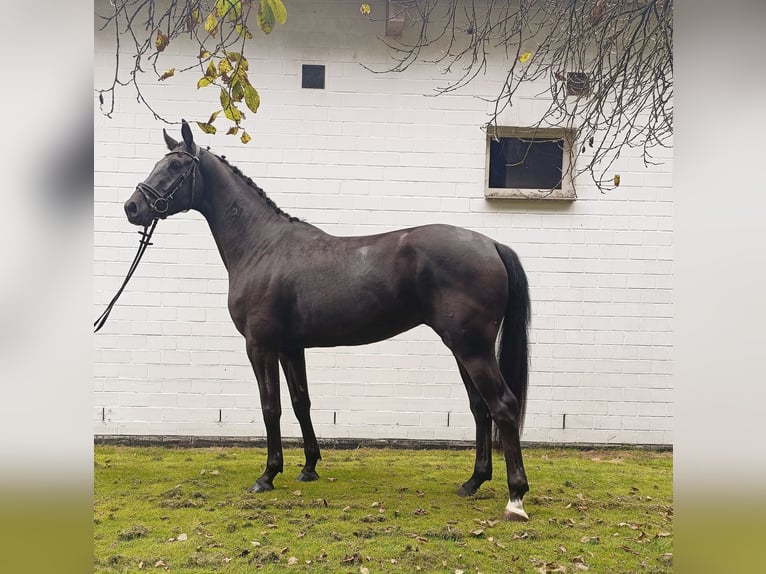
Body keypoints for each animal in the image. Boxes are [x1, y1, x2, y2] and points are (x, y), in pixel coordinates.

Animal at [124, 121, 536, 520]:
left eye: (175, 166)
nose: (132, 207)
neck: (262, 247)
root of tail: (491, 244)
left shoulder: (260, 346)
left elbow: (270, 406)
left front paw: (268, 474)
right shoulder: (291, 347)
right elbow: (300, 402)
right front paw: (309, 467)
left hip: (472, 348)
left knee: (502, 405)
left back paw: (515, 497)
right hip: (462, 347)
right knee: (480, 407)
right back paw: (473, 482)